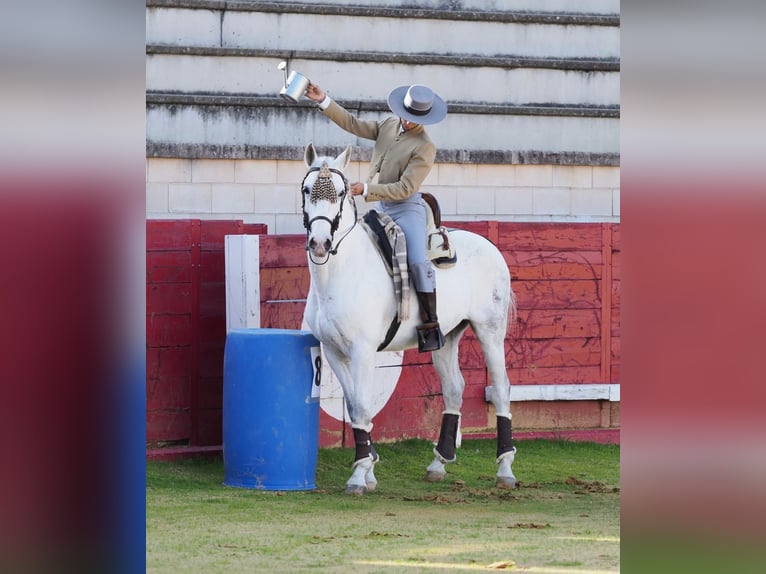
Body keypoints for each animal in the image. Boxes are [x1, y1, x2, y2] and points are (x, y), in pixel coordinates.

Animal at [304, 144, 520, 496]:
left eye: (340, 192)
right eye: (307, 189)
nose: (320, 243)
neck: (341, 272)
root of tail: (489, 246)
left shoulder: (363, 352)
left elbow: (362, 406)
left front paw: (359, 475)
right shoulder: (334, 352)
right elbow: (354, 406)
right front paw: (369, 468)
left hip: (490, 330)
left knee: (501, 388)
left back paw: (505, 469)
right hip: (446, 338)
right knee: (454, 388)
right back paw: (439, 463)